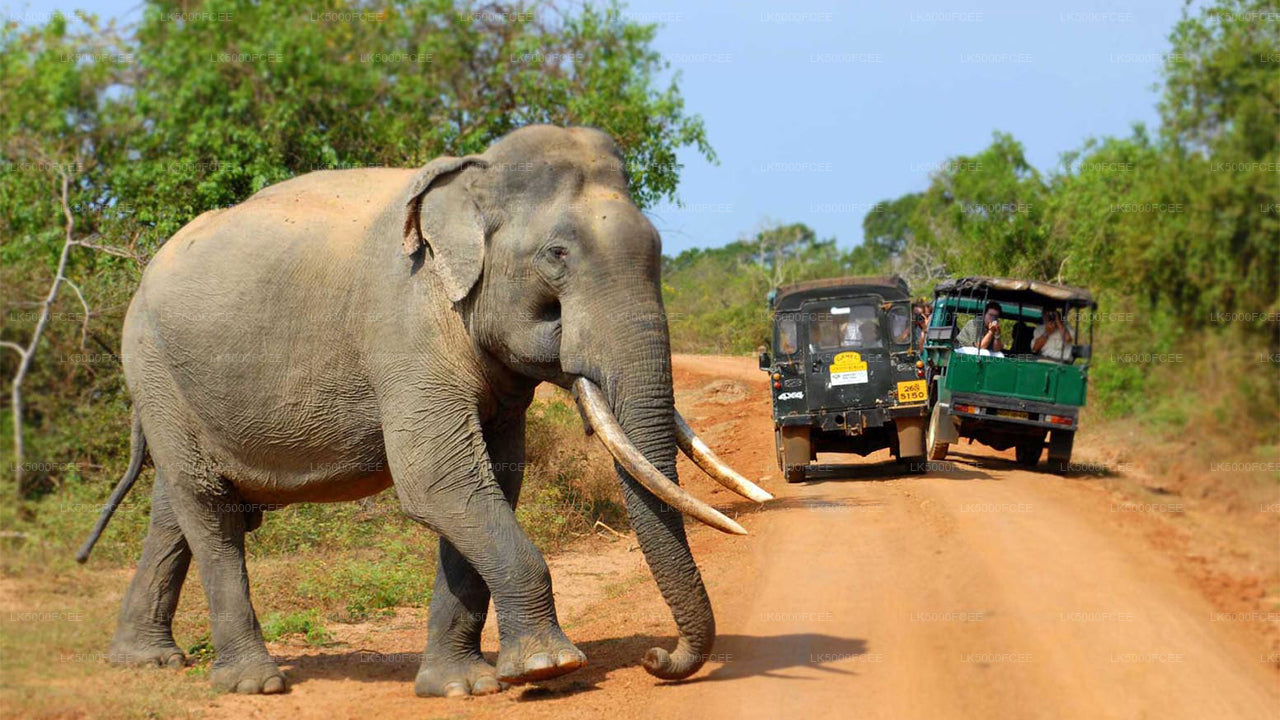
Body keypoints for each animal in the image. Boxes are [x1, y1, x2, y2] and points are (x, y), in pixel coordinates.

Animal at [77, 124, 768, 696]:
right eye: (558, 255)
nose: (657, 658)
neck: (472, 179)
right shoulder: (404, 325)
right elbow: (440, 482)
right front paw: (549, 669)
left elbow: (493, 481)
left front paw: (462, 687)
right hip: (152, 365)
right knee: (209, 506)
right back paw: (254, 684)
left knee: (176, 504)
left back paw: (144, 660)